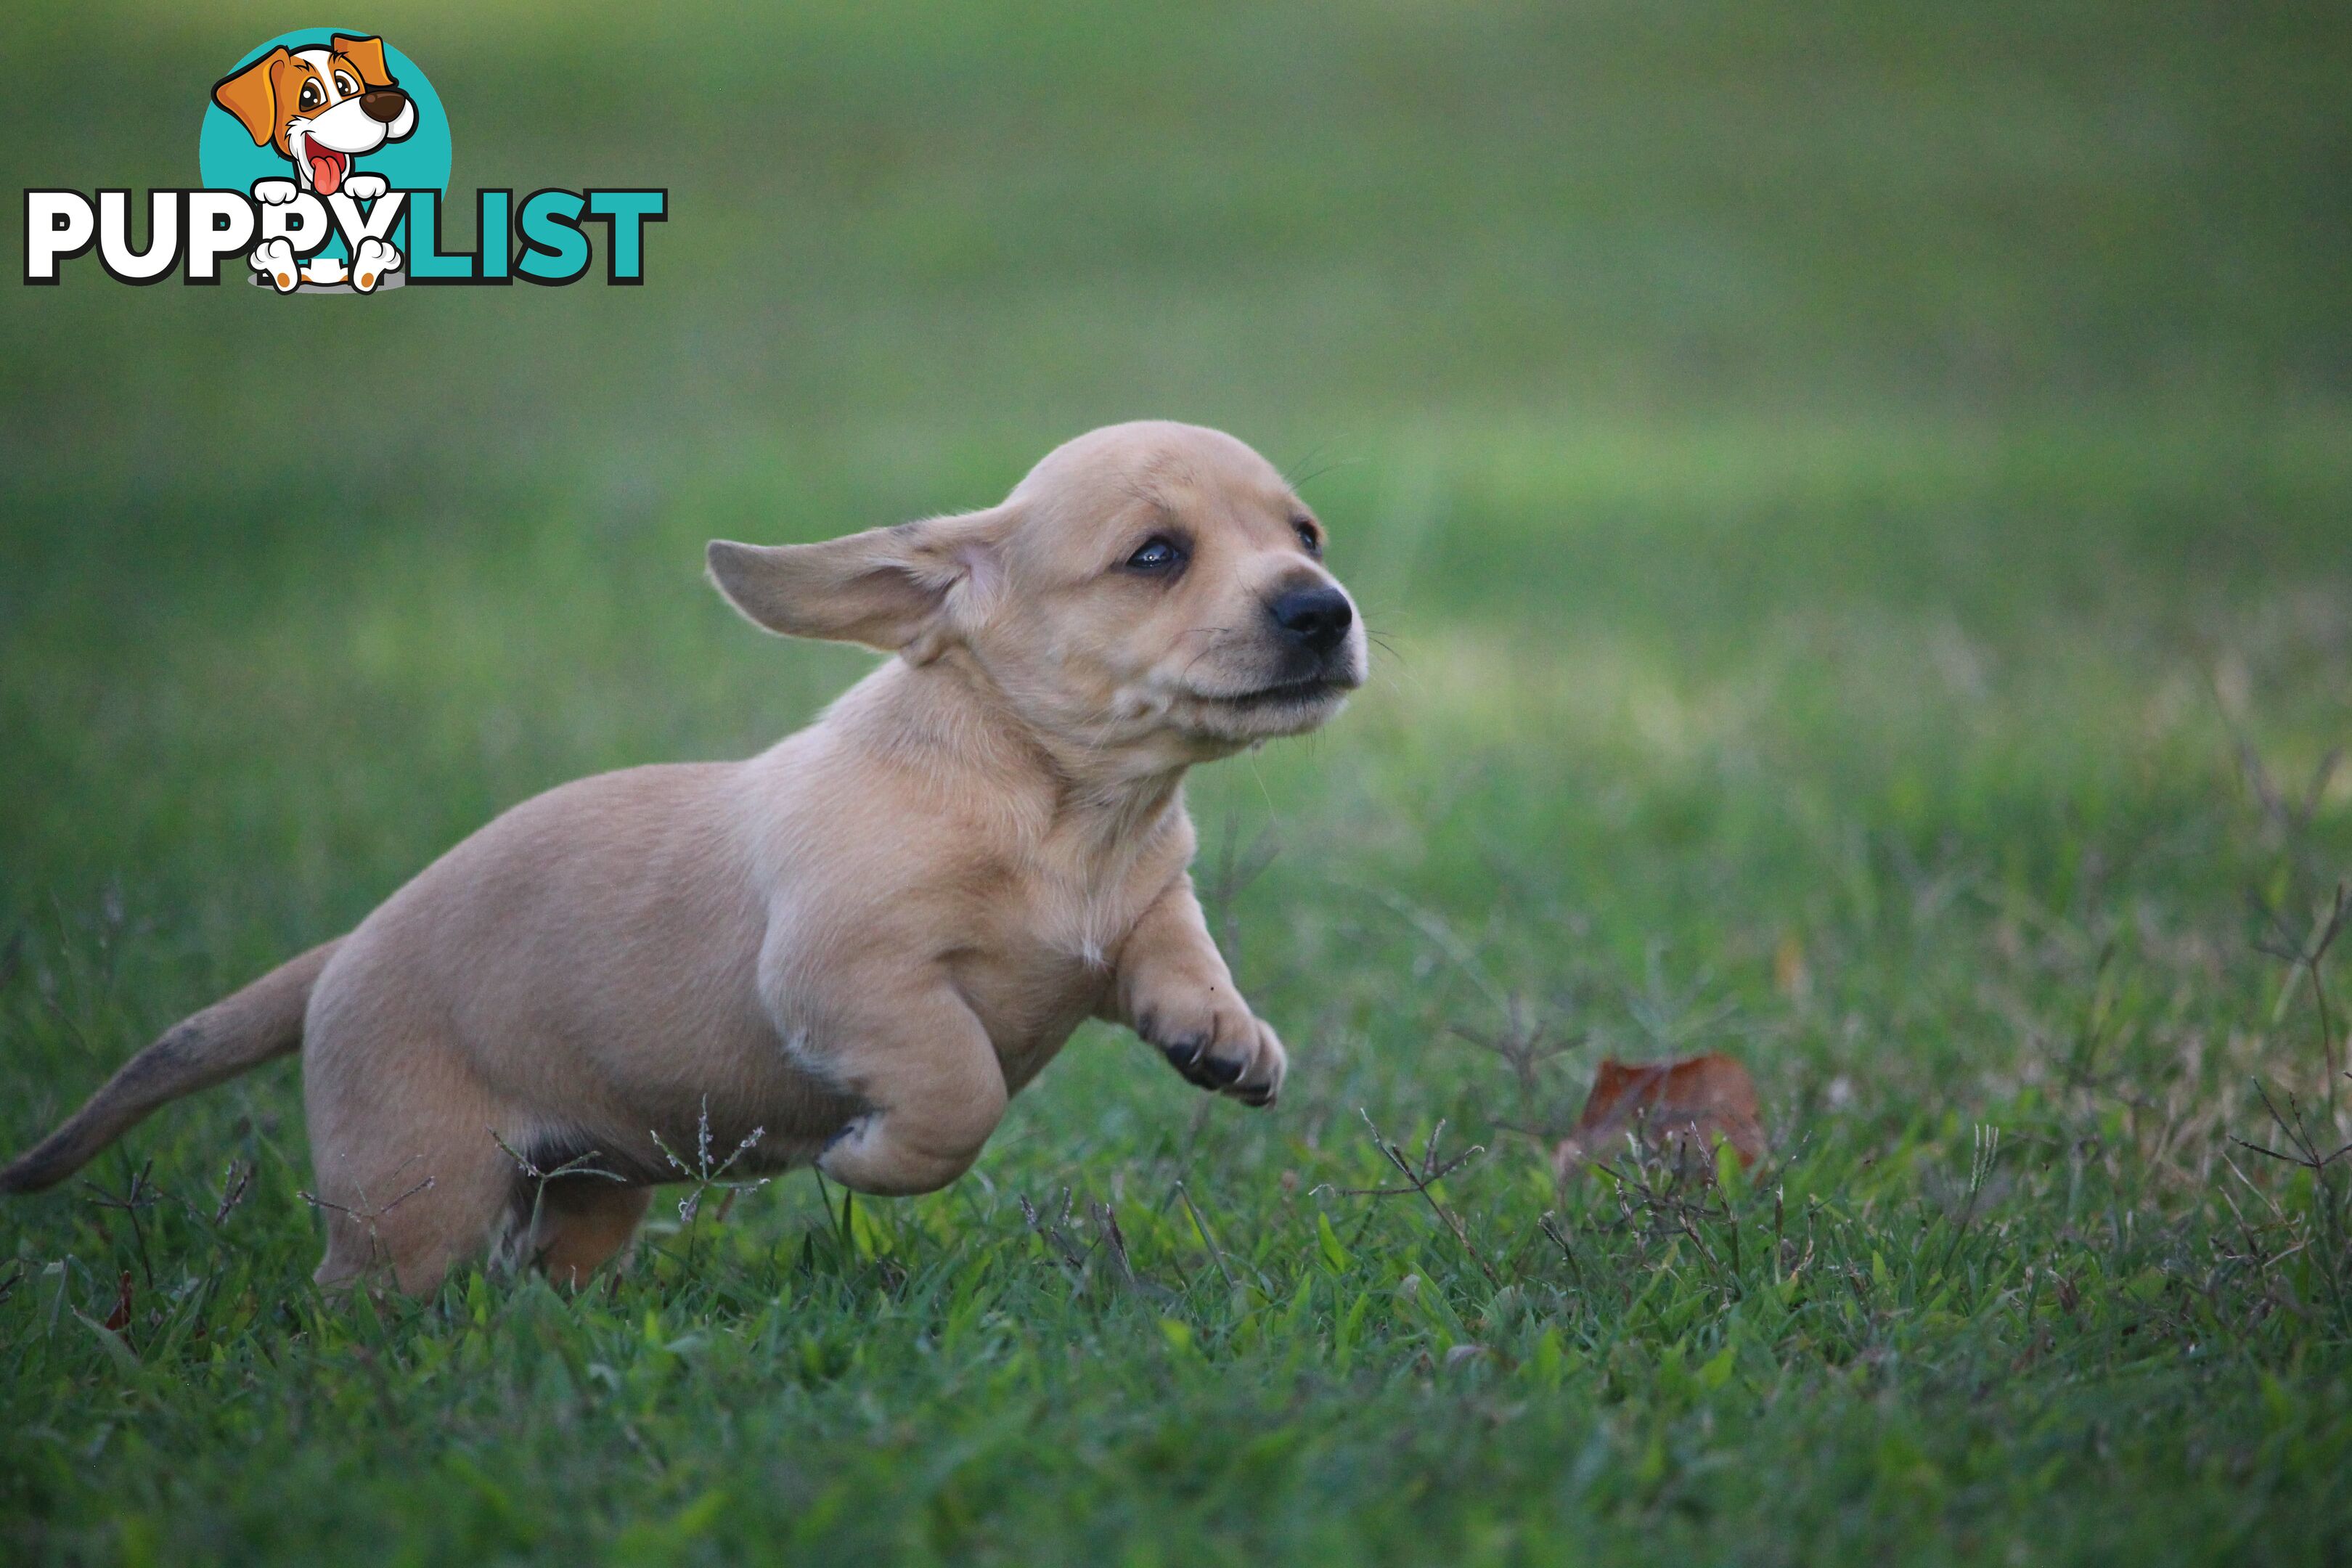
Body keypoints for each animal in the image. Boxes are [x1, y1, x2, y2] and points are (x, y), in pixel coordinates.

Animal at [0, 422, 1373, 1297]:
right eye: (1157, 555)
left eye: (1306, 533)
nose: (1325, 608)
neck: (1065, 812)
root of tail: (343, 953)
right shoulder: (849, 979)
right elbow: (956, 1089)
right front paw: (868, 1161)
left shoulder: (1143, 907)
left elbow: (1177, 952)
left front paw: (1225, 1038)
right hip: (418, 1195)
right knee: (363, 1296)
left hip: (590, 1188)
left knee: (546, 1270)